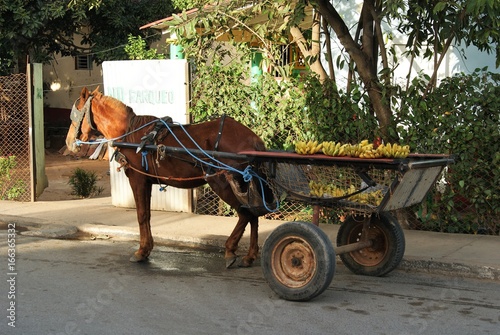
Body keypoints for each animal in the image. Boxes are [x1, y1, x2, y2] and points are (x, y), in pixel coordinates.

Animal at [65, 86, 274, 268]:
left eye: (75, 114)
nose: (68, 142)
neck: (128, 133)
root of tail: (252, 138)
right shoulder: (146, 180)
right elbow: (147, 214)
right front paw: (146, 248)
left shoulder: (137, 179)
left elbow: (141, 215)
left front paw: (141, 251)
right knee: (253, 213)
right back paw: (249, 256)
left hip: (221, 182)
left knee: (245, 213)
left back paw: (230, 250)